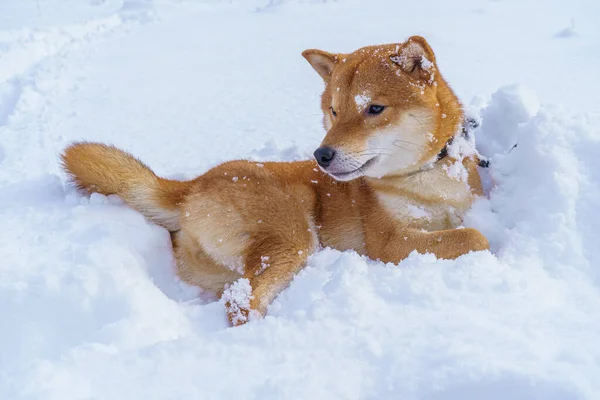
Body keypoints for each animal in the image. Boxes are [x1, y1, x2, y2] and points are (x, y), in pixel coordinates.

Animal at [62, 36, 488, 326]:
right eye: (334, 111)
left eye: (375, 108)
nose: (321, 156)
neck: (427, 175)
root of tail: (193, 186)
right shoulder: (390, 242)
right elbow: (475, 237)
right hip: (293, 237)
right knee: (240, 302)